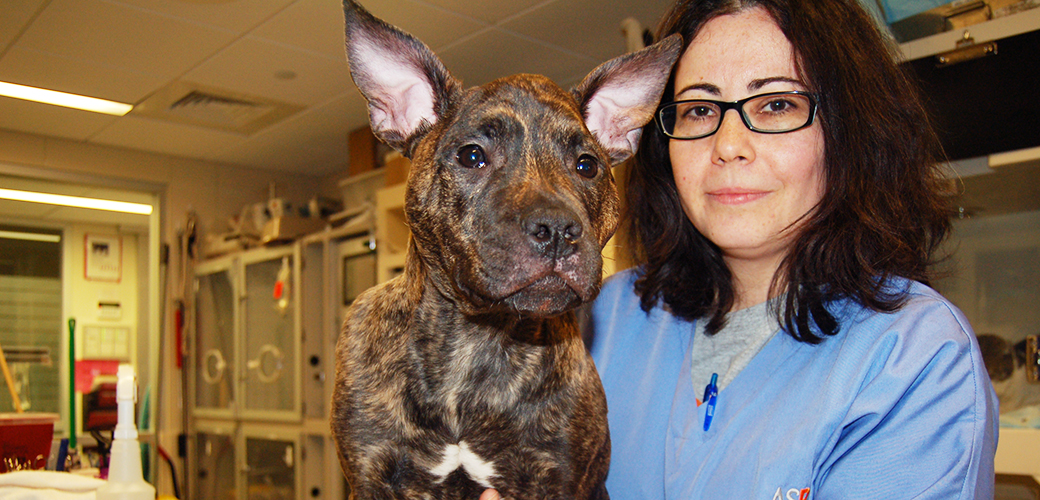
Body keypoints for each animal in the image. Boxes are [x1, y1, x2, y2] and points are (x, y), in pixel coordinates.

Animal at [332, 1, 682, 496]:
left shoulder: (559, 477)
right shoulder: (370, 473)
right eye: (472, 156)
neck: (477, 340)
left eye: (587, 165)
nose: (557, 229)